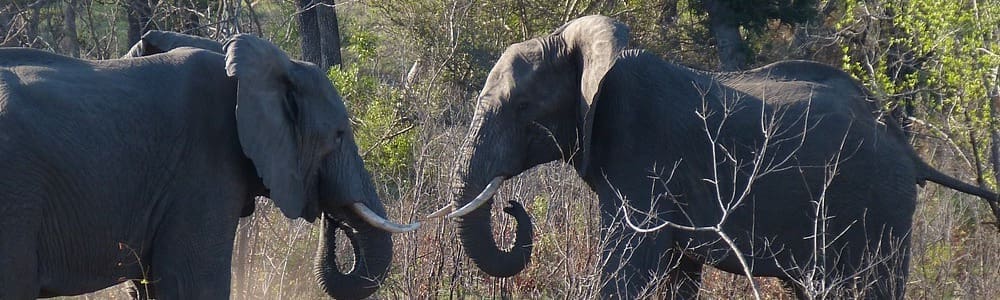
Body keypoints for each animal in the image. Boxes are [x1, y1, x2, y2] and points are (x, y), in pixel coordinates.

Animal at [432, 15, 1000, 298]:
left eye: (523, 108)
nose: (512, 207)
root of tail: (906, 146)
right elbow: (676, 272)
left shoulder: (643, 155)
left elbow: (628, 266)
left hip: (876, 210)